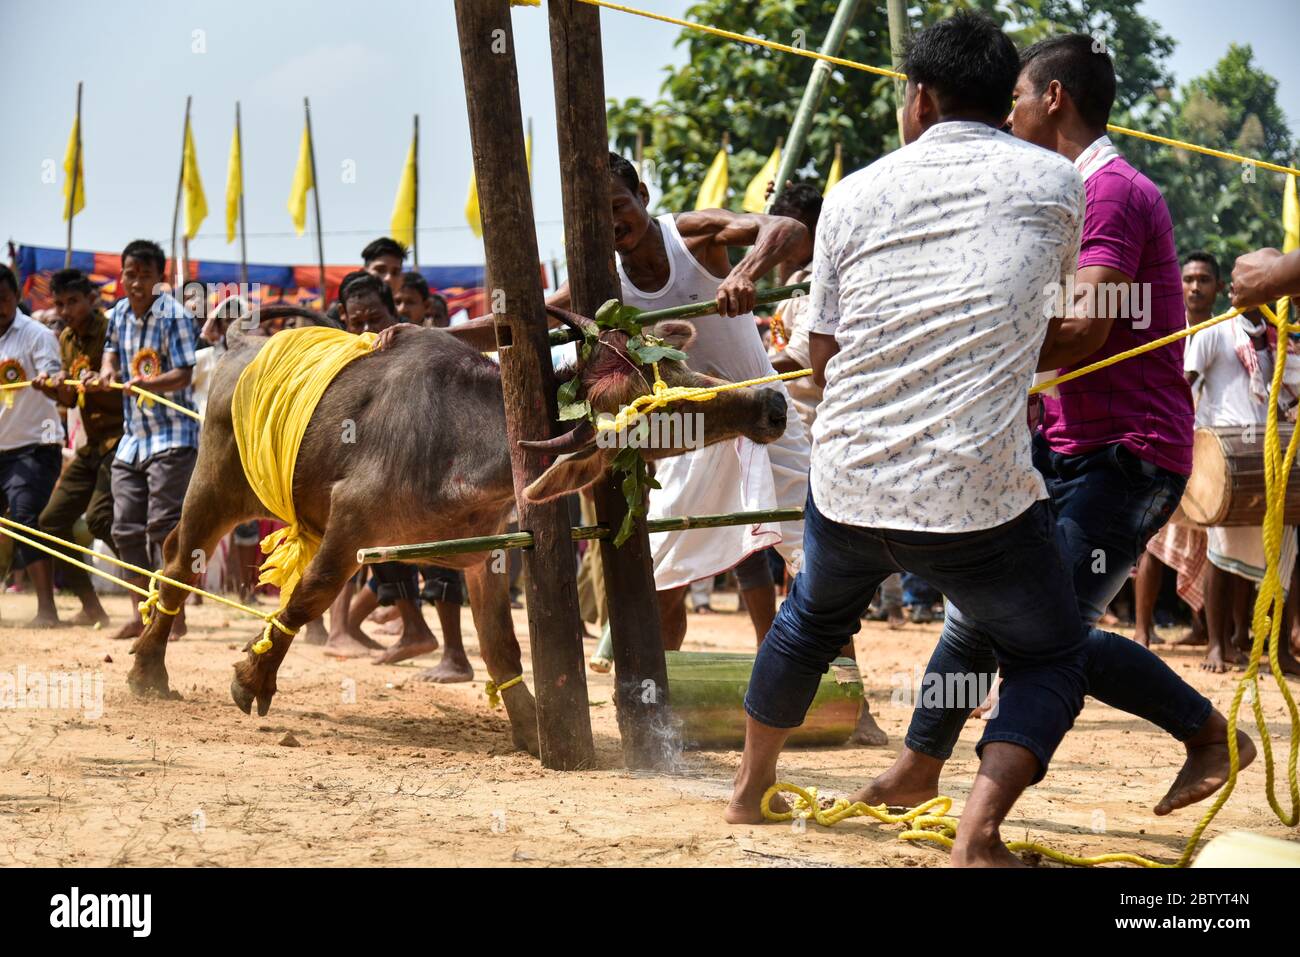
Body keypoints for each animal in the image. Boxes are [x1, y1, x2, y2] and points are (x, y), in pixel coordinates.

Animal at [131, 306, 785, 754]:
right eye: (652, 409)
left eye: (677, 364)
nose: (771, 406)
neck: (458, 449)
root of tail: (238, 343)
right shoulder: (348, 526)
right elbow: (307, 596)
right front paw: (253, 677)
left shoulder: (486, 558)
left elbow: (502, 646)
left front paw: (532, 729)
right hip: (216, 486)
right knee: (177, 563)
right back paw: (147, 670)